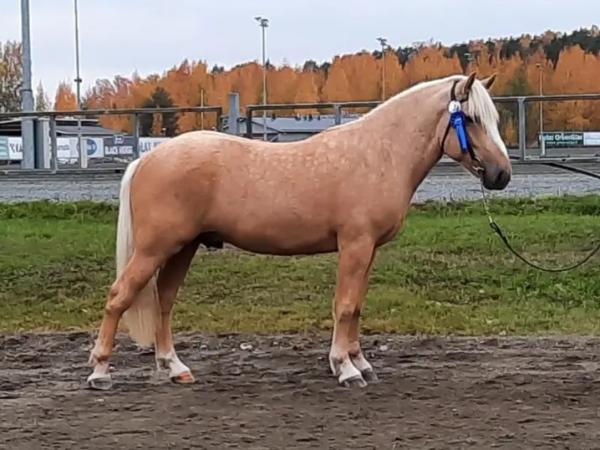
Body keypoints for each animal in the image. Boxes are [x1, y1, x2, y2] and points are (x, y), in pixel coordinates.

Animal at [86, 72, 512, 390]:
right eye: (470, 119)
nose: (501, 175)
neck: (378, 154)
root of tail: (146, 158)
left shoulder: (369, 250)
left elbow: (357, 306)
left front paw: (360, 363)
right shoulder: (355, 245)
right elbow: (345, 306)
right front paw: (346, 369)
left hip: (183, 247)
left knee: (164, 301)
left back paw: (175, 368)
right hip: (155, 248)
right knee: (119, 296)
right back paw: (100, 372)